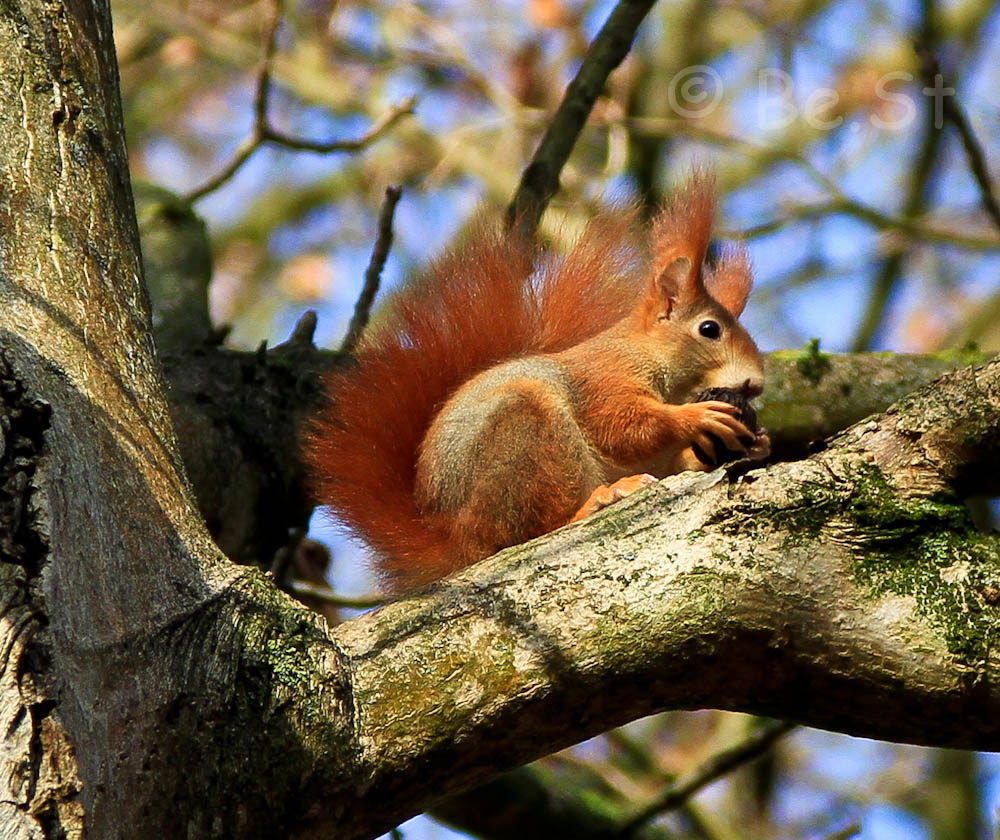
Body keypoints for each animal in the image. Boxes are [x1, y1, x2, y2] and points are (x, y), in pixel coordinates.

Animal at [308, 171, 768, 592]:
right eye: (709, 329)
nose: (757, 383)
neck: (651, 357)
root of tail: (456, 542)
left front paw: (751, 442)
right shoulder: (605, 378)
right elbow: (622, 427)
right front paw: (696, 416)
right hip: (527, 434)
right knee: (529, 530)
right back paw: (595, 502)